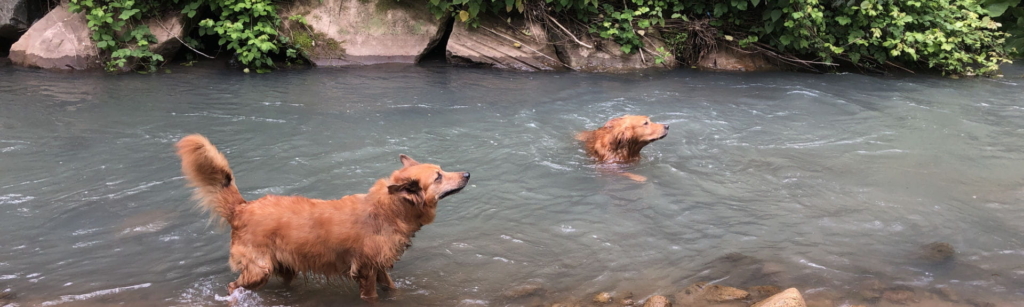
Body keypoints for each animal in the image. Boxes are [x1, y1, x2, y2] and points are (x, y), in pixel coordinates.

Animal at [174, 135, 468, 302]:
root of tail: (242, 208)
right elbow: (372, 297)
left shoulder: (380, 267)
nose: (467, 174)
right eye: (438, 177)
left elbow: (393, 288)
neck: (388, 210)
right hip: (259, 270)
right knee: (232, 286)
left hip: (286, 266)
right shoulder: (365, 271)